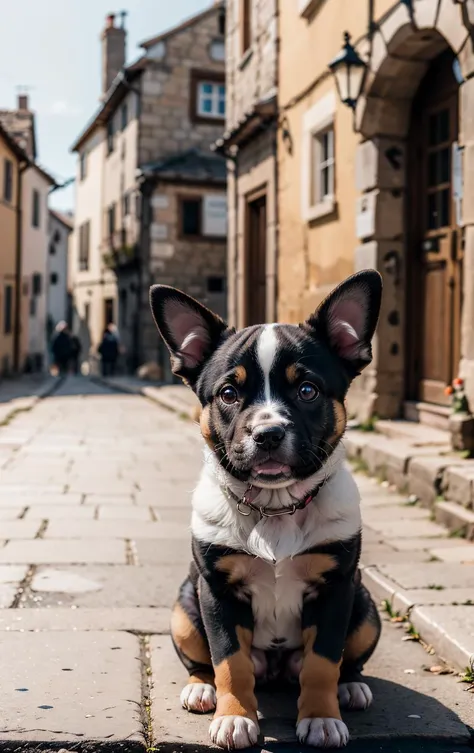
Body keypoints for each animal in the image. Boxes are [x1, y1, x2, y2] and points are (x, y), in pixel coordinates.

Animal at [150, 268, 384, 748]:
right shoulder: (217, 592)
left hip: (366, 609)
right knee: (206, 661)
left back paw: (351, 687)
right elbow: (230, 661)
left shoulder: (336, 589)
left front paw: (321, 718)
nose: (268, 433)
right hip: (183, 609)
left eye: (308, 390)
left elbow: (322, 662)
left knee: (344, 661)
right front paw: (235, 717)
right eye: (227, 393)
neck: (276, 509)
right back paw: (201, 688)